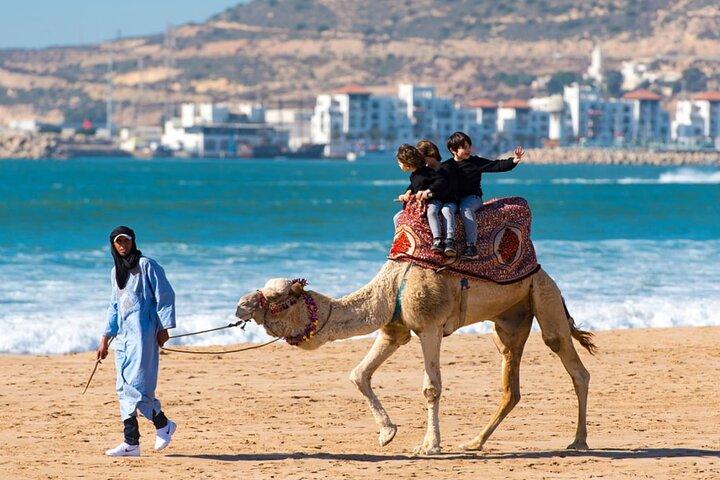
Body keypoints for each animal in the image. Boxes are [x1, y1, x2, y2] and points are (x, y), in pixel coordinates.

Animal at [235, 260, 595, 455]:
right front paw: (387, 433)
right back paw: (474, 442)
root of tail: (545, 273)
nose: (240, 305)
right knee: (511, 385)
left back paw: (578, 441)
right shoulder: (394, 329)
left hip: (543, 295)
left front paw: (428, 446)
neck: (391, 286)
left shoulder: (430, 326)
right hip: (510, 320)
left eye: (277, 298)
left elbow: (431, 388)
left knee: (572, 363)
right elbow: (359, 374)